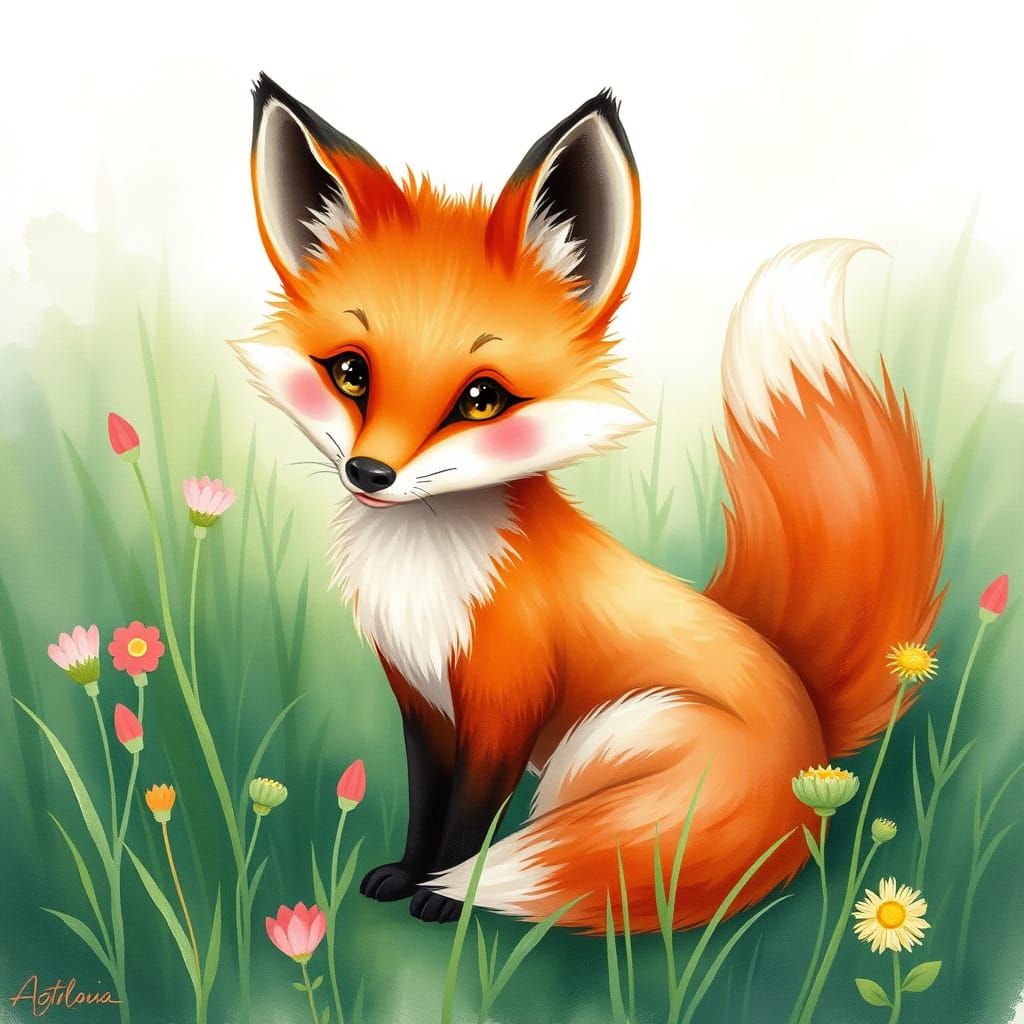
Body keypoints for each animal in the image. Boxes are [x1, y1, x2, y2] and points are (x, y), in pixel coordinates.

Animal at [235, 73, 943, 932]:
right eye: (349, 373)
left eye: (481, 399)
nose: (369, 473)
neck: (429, 580)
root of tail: (815, 744)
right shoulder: (422, 703)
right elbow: (425, 805)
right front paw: (405, 875)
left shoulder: (505, 705)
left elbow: (466, 821)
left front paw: (440, 895)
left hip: (605, 740)